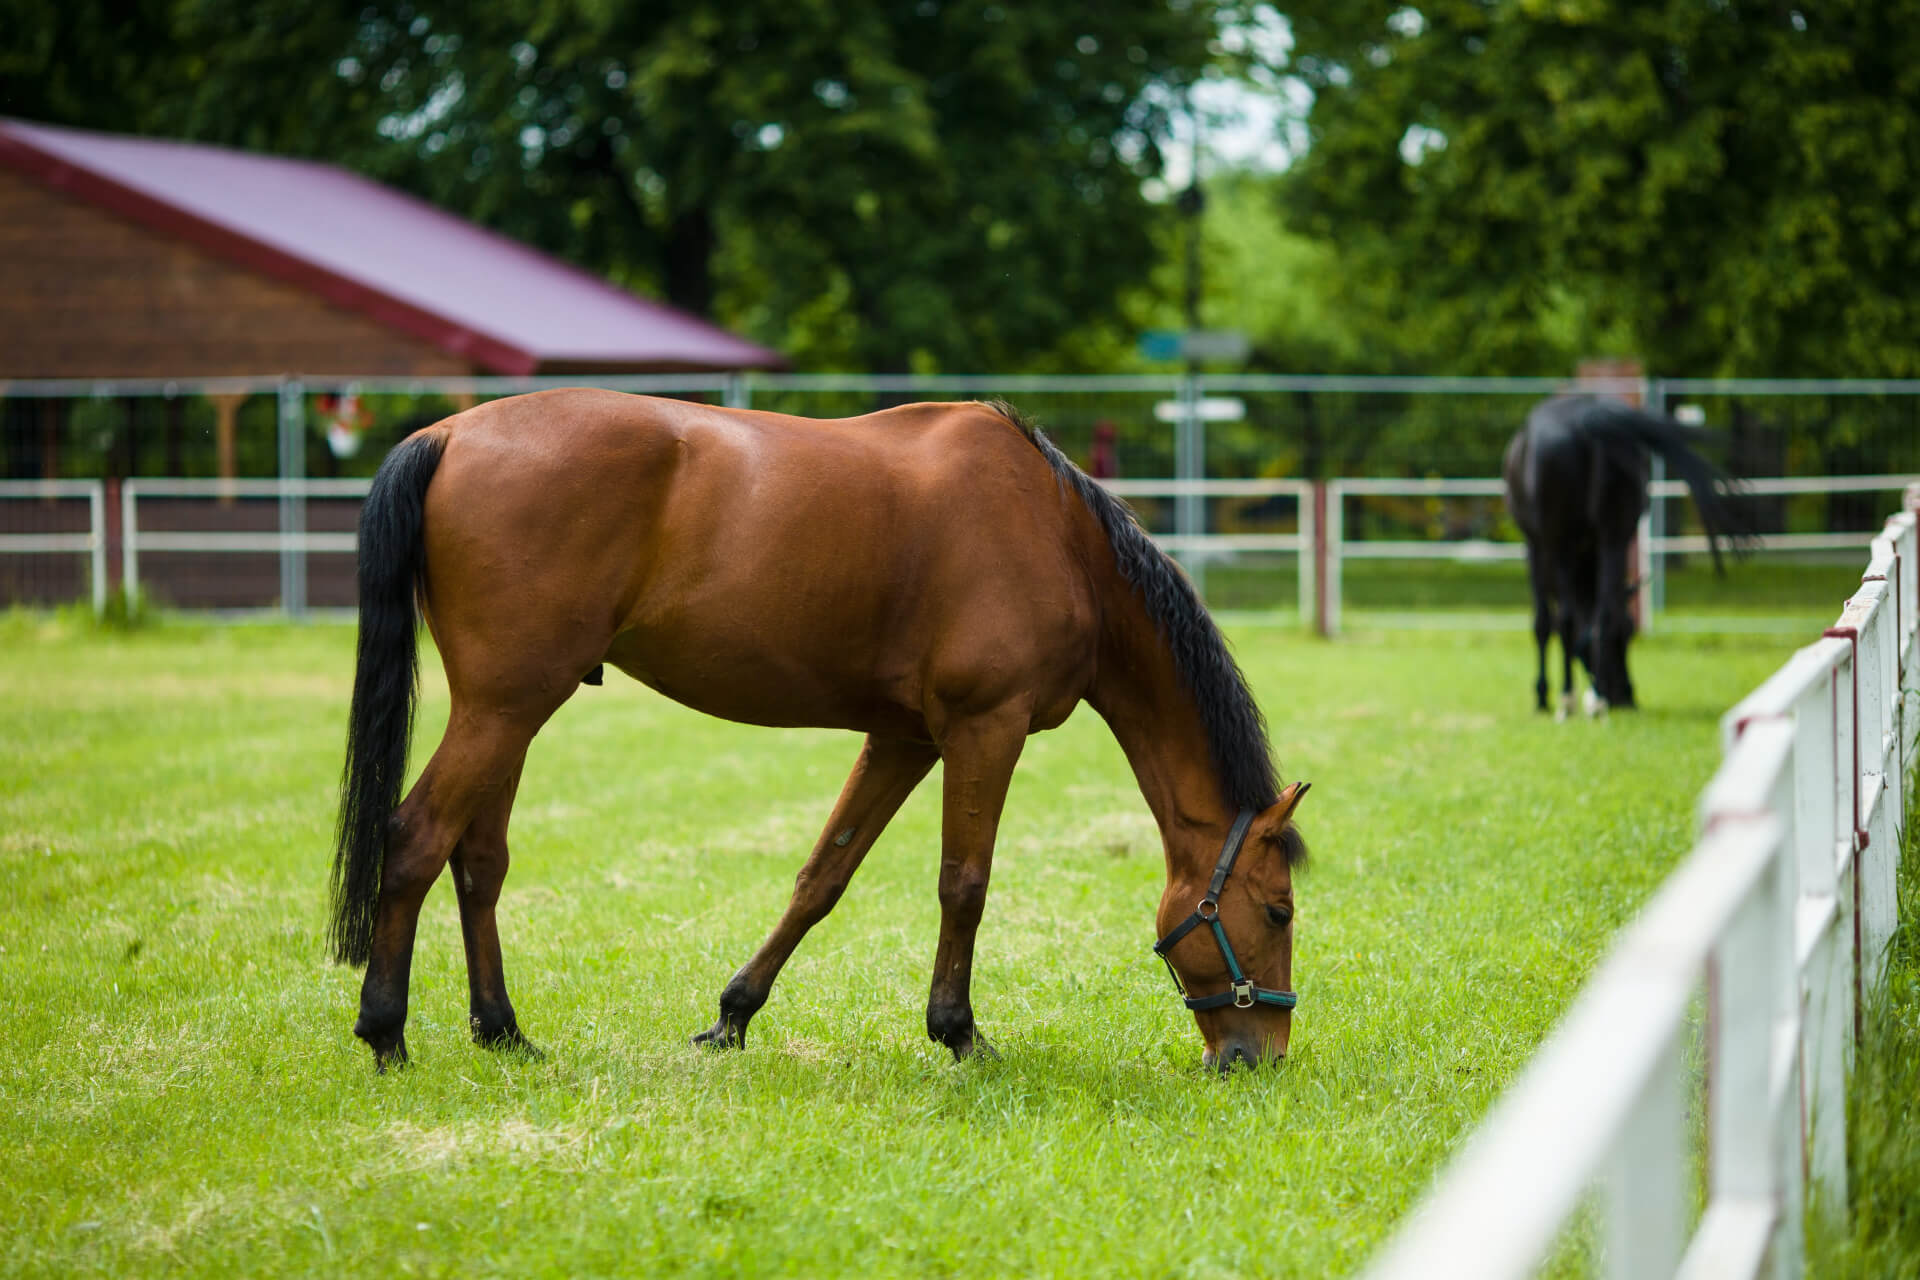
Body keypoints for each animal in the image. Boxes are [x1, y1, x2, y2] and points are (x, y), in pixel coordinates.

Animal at [337, 391, 1313, 1074]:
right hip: (505, 706)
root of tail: (450, 436)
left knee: (478, 861)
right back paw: (386, 1033)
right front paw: (960, 1035)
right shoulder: (984, 729)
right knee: (415, 837)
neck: (1059, 537)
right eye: (1277, 909)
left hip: (511, 711)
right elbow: (964, 883)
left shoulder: (904, 740)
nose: (1257, 1058)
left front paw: (733, 1016)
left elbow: (822, 877)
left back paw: (503, 1033)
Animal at [1505, 395, 1751, 717]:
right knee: (1606, 615)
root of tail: (1587, 417)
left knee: (1568, 620)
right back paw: (1596, 699)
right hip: (1616, 533)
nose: (1624, 697)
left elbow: (1545, 623)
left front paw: (1543, 695)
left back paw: (1569, 698)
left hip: (1561, 540)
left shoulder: (1536, 546)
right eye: (1626, 639)